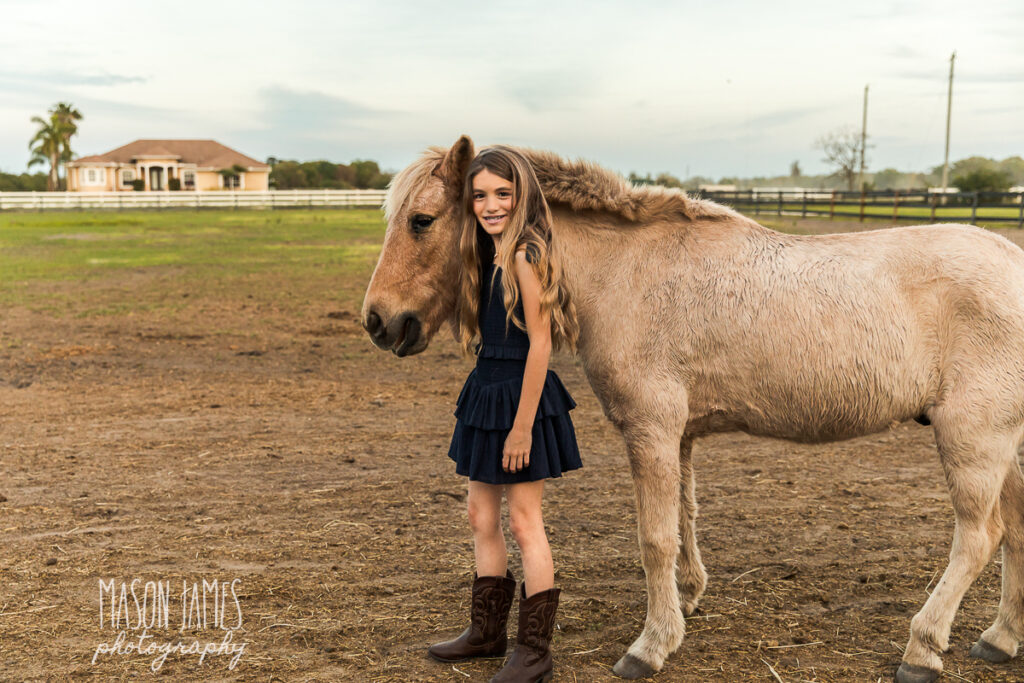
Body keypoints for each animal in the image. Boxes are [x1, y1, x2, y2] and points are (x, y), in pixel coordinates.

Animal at [360, 136, 1024, 679]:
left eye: (421, 221)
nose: (378, 320)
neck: (626, 272)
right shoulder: (677, 436)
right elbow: (683, 519)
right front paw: (685, 599)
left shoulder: (651, 430)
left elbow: (654, 536)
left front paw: (650, 645)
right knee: (1014, 531)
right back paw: (999, 638)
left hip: (973, 437)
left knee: (979, 537)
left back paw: (922, 648)